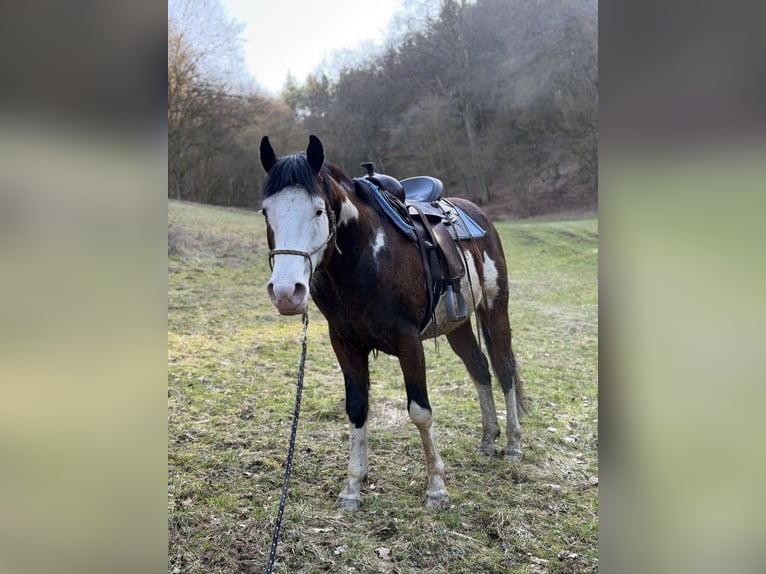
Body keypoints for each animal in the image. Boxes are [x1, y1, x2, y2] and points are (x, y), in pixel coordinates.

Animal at [259, 135, 526, 509]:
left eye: (318, 210)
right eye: (266, 211)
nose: (286, 292)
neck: (366, 257)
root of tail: (477, 214)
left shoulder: (408, 341)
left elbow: (420, 411)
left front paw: (436, 489)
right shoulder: (344, 342)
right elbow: (356, 409)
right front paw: (352, 487)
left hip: (495, 308)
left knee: (504, 369)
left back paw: (513, 445)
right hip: (457, 324)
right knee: (479, 367)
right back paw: (489, 438)